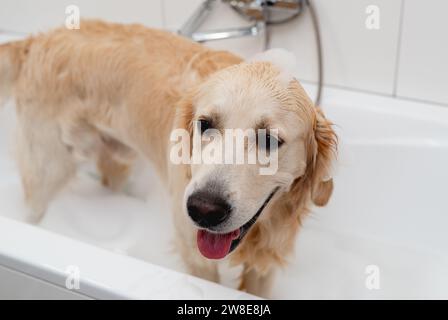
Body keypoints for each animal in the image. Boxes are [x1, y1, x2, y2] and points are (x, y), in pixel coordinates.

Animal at [0, 20, 336, 298]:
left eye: (268, 139)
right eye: (205, 124)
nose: (203, 210)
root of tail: (38, 39)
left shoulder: (268, 258)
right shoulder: (193, 250)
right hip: (48, 168)